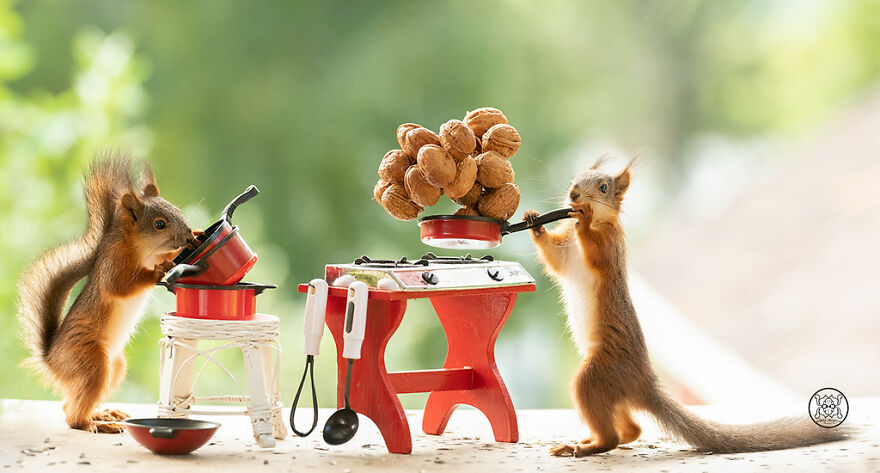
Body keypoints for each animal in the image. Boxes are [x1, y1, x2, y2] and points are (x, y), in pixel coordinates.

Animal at [17, 153, 193, 433]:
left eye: (178, 211)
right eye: (159, 224)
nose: (187, 236)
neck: (143, 249)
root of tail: (51, 360)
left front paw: (196, 235)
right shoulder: (113, 262)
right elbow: (118, 285)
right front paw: (157, 271)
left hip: (115, 367)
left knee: (70, 404)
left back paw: (104, 414)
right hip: (91, 364)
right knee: (73, 417)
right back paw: (97, 424)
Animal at [522, 159, 849, 456]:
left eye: (603, 188)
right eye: (573, 179)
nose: (575, 195)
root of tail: (644, 383)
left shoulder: (610, 247)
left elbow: (595, 252)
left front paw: (587, 218)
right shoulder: (567, 248)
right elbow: (556, 259)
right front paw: (533, 220)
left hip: (598, 376)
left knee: (612, 433)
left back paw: (587, 447)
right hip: (611, 391)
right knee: (632, 429)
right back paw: (593, 440)